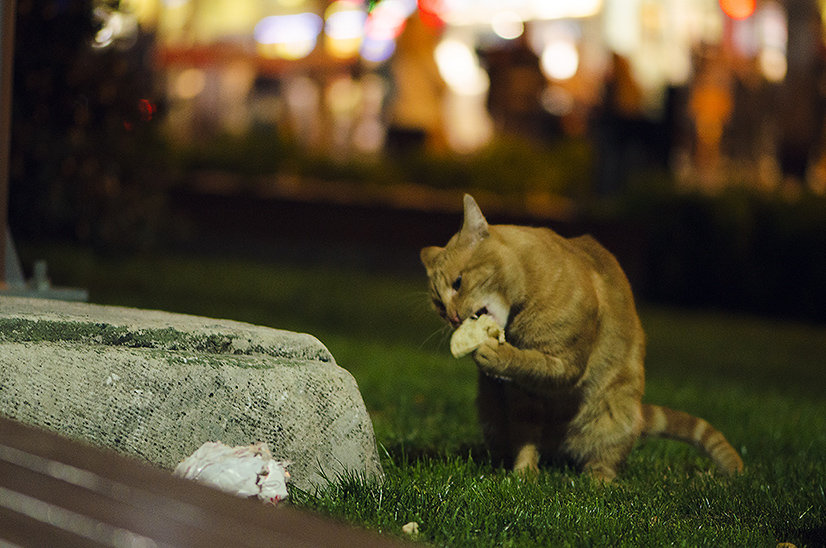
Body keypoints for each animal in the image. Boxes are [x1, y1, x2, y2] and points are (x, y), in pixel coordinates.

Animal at [418, 193, 740, 480]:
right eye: (438, 305)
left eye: (458, 283)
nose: (453, 318)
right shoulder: (521, 401)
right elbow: (525, 439)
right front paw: (523, 475)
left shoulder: (568, 365)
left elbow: (532, 363)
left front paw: (496, 355)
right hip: (491, 413)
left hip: (613, 416)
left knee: (604, 461)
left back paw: (597, 481)